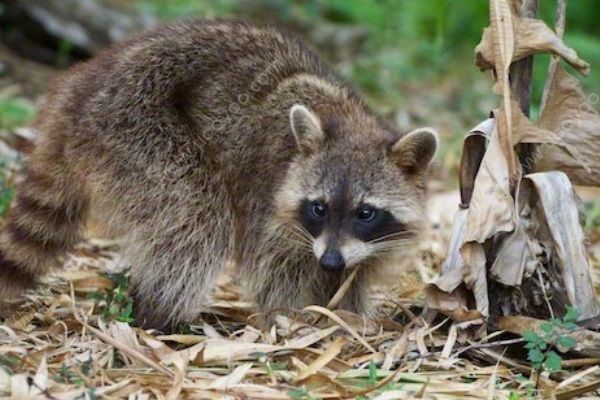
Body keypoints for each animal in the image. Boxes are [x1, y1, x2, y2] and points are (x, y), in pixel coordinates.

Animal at [0, 20, 436, 330]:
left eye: (366, 213)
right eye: (318, 208)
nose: (330, 261)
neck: (348, 121)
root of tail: (76, 92)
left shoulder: (362, 242)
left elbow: (353, 276)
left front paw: (347, 315)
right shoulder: (268, 200)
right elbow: (275, 273)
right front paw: (295, 322)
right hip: (138, 130)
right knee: (196, 219)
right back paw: (160, 315)